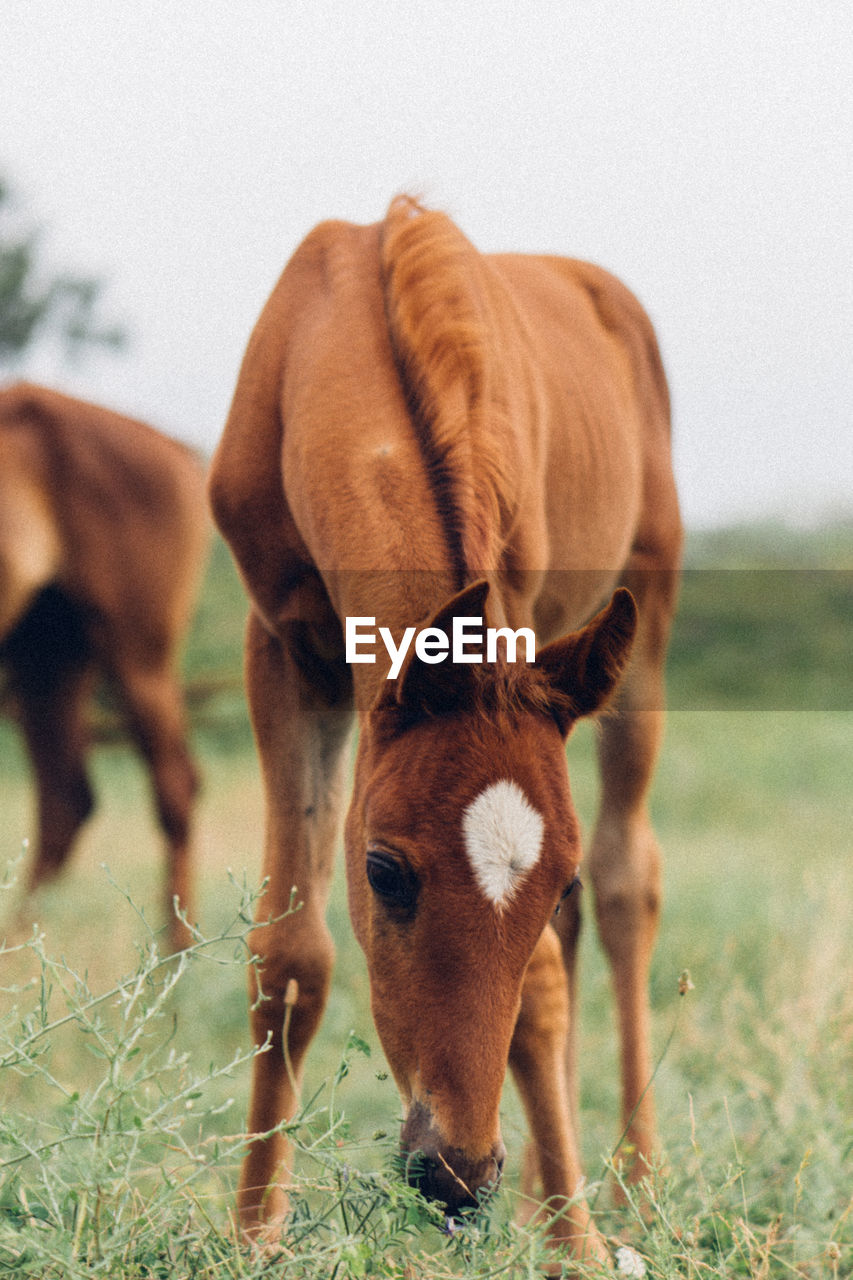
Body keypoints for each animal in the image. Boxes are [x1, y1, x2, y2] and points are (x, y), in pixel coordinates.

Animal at [1, 384, 207, 957]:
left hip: (138, 658)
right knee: (64, 801)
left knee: (174, 787)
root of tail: (175, 447)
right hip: (48, 662)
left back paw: (175, 955)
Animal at [208, 199, 681, 1259]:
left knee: (625, 883)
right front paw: (253, 1231)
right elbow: (288, 957)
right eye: (383, 872)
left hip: (645, 620)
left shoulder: (524, 621)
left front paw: (577, 1246)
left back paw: (629, 1186)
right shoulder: (283, 649)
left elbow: (541, 977)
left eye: (548, 878)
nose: (456, 1175)